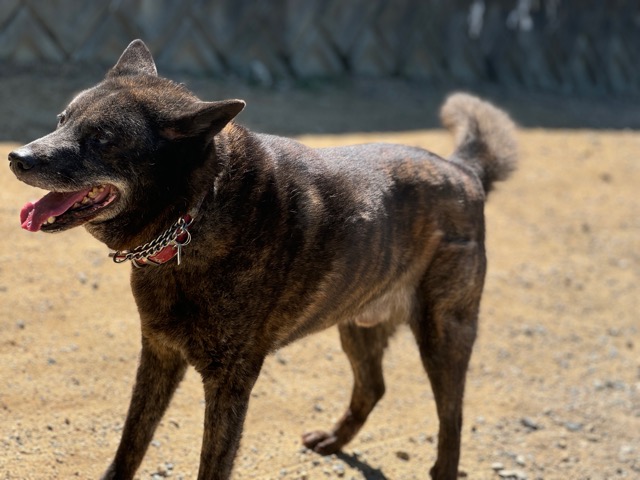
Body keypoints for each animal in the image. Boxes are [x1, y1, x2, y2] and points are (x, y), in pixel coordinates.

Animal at [9, 40, 517, 480]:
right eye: (62, 119)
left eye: (101, 138)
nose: (16, 157)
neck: (193, 215)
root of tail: (465, 171)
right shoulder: (158, 352)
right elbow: (131, 442)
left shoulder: (230, 380)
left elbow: (212, 465)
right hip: (358, 323)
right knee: (373, 387)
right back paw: (334, 440)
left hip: (444, 334)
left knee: (452, 419)